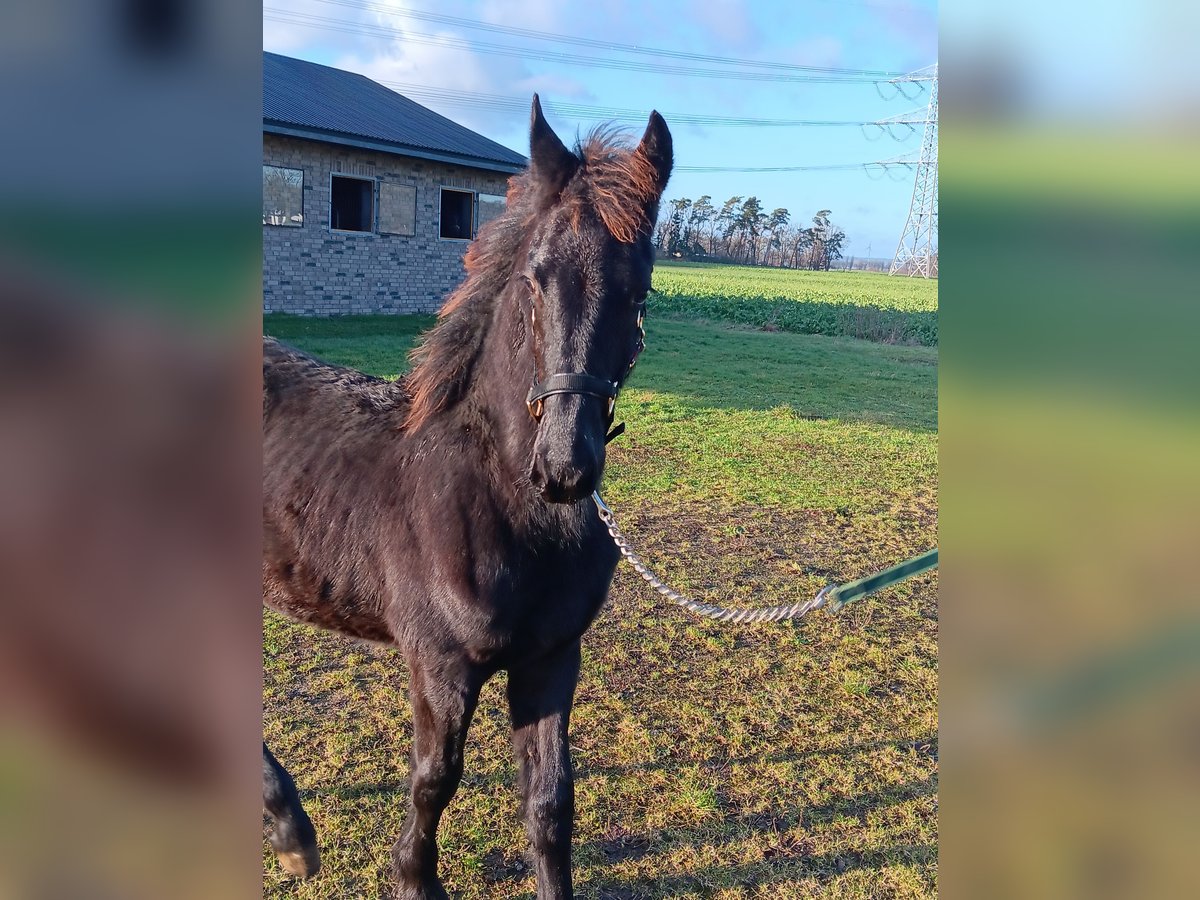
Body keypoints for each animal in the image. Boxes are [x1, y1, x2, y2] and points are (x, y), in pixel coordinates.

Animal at [262, 95, 672, 897]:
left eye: (639, 291)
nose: (565, 468)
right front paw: (412, 878)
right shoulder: (440, 663)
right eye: (534, 278)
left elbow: (550, 801)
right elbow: (434, 780)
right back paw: (292, 831)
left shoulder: (552, 657)